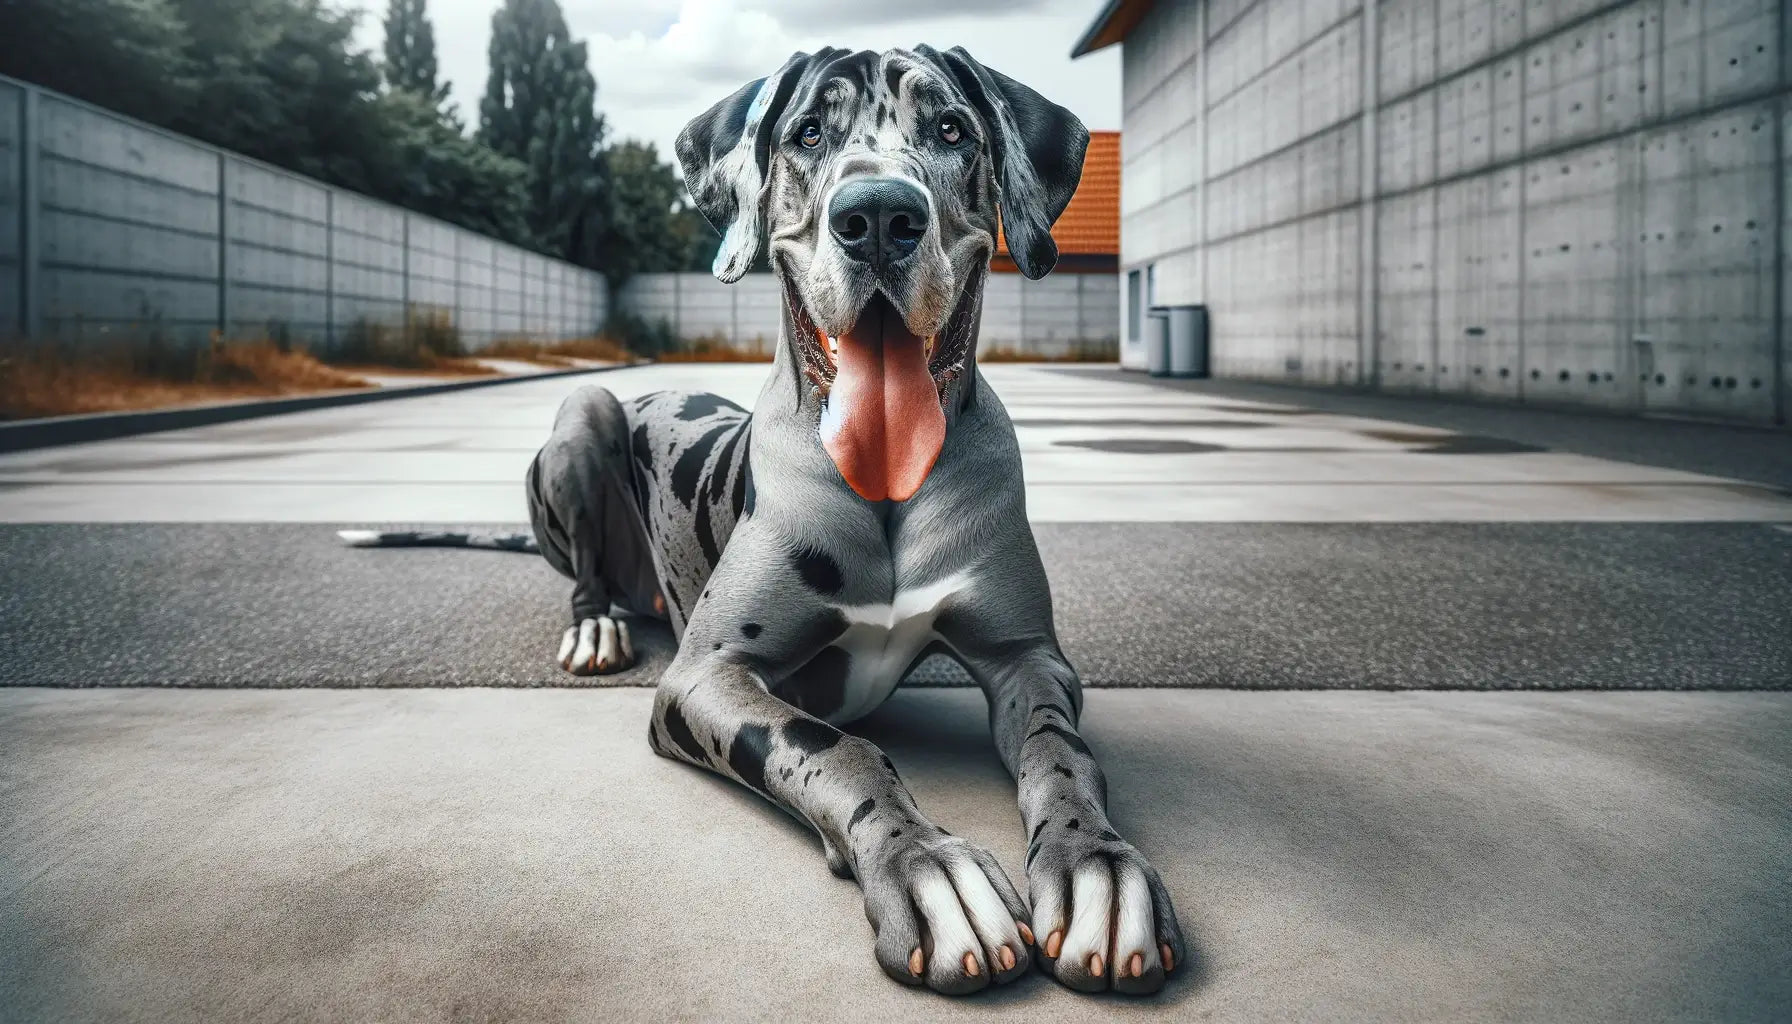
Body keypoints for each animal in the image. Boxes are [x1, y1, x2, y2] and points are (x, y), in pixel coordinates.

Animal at [342, 46, 1182, 997]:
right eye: (809, 133)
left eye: (951, 129)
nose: (878, 216)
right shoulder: (704, 677)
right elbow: (837, 748)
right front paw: (925, 863)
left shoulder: (1027, 659)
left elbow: (1061, 753)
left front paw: (1094, 861)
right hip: (585, 411)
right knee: (588, 568)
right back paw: (595, 627)